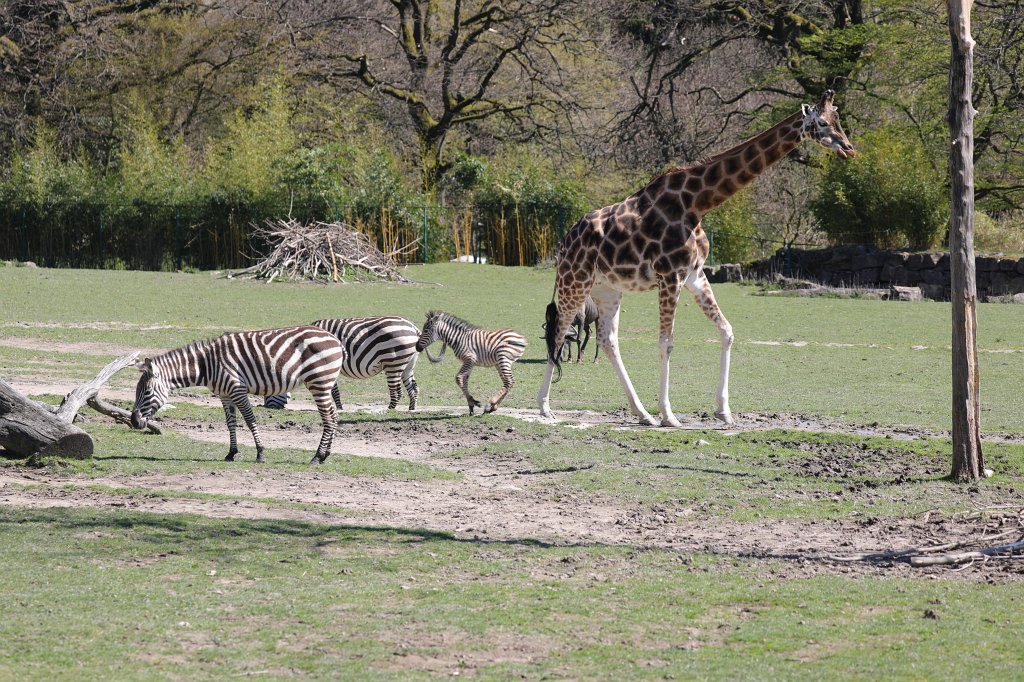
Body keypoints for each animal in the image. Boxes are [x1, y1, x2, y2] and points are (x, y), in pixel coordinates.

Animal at [130, 325, 345, 465]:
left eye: (147, 392)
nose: (133, 421)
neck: (206, 365)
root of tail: (335, 339)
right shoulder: (224, 395)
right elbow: (231, 423)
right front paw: (231, 453)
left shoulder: (237, 389)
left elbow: (250, 420)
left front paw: (260, 453)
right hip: (324, 384)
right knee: (334, 415)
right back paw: (326, 454)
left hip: (319, 382)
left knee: (328, 418)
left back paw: (317, 457)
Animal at [264, 316, 420, 412]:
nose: (265, 406)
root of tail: (413, 327)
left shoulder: (324, 366)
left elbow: (333, 390)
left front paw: (339, 408)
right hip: (408, 364)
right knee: (413, 387)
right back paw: (411, 408)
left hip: (393, 362)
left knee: (397, 391)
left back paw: (389, 409)